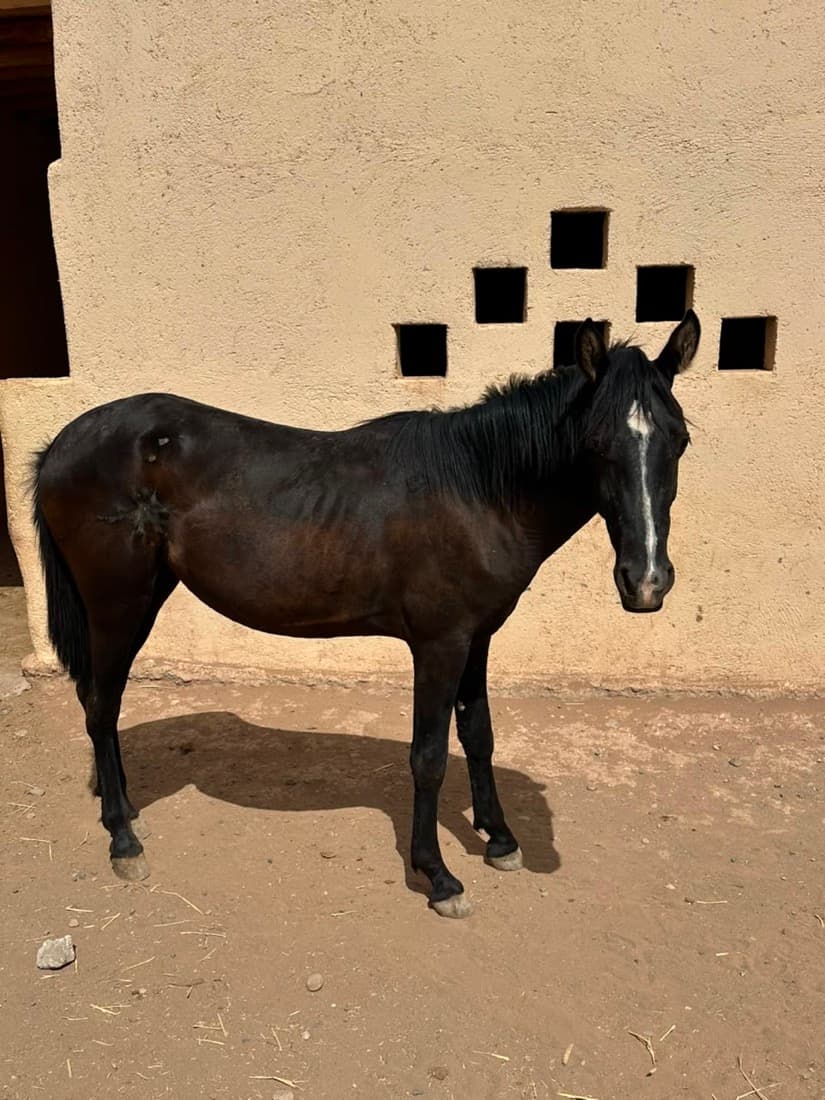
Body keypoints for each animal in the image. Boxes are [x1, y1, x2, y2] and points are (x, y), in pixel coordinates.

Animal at [31, 311, 700, 918]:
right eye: (596, 444)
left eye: (680, 441)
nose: (646, 582)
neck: (478, 489)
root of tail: (61, 444)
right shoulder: (439, 644)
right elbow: (428, 757)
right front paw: (438, 877)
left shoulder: (477, 638)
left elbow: (478, 736)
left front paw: (501, 840)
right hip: (118, 604)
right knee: (101, 707)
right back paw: (123, 840)